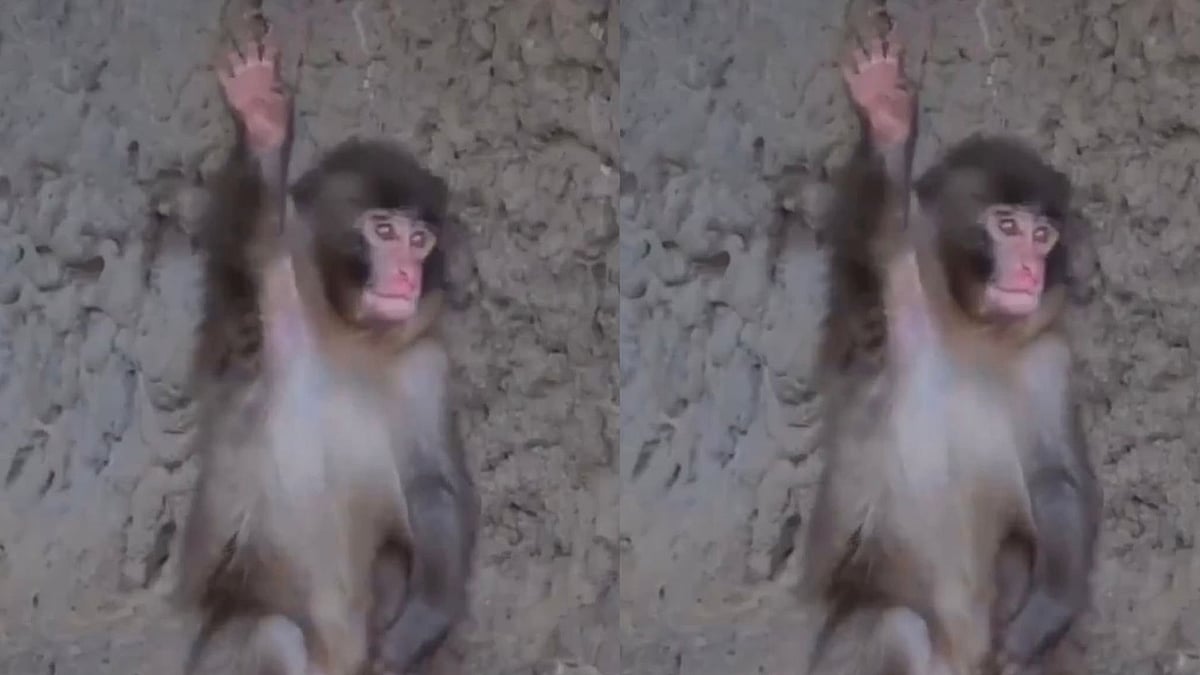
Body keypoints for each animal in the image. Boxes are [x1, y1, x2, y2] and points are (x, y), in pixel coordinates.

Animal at [176, 19, 479, 675]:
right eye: (382, 230)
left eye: (420, 240)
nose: (405, 277)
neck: (349, 335)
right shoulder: (270, 299)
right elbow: (249, 244)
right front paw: (263, 122)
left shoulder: (426, 365)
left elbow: (432, 488)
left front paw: (423, 618)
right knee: (270, 634)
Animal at [797, 10, 1101, 675]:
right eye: (1005, 225)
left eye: (1042, 235)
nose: (1028, 271)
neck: (972, 328)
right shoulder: (895, 293)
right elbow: (873, 239)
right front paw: (886, 118)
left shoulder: (1048, 358)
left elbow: (1054, 479)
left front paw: (1048, 608)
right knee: (892, 627)